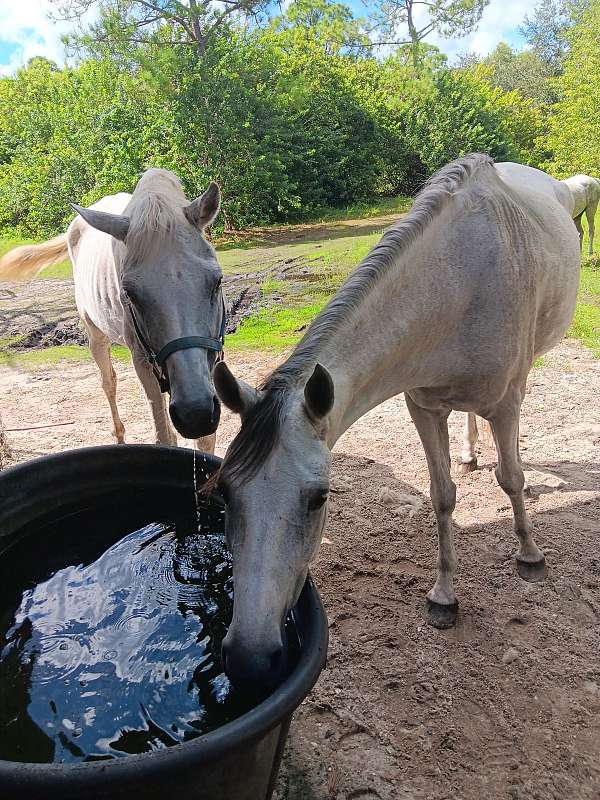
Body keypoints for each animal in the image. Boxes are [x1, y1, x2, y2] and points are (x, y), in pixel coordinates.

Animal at [0, 168, 225, 450]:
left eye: (217, 281)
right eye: (129, 294)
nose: (195, 414)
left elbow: (204, 441)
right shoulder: (142, 361)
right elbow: (162, 434)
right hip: (95, 335)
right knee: (109, 382)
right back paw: (118, 436)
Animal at [212, 158, 580, 692]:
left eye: (319, 498)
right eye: (224, 492)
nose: (249, 657)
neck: (459, 284)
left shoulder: (505, 403)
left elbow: (510, 477)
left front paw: (530, 556)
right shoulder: (422, 406)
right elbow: (442, 496)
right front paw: (444, 597)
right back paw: (469, 454)